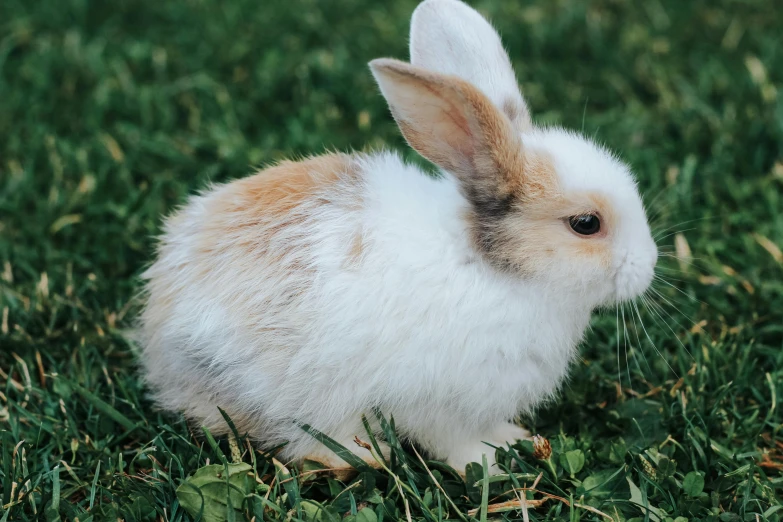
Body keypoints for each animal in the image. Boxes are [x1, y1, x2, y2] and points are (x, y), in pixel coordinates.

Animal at [138, 0, 660, 474]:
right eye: (586, 224)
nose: (649, 265)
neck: (493, 268)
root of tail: (157, 335)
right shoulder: (439, 403)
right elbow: (455, 442)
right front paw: (488, 466)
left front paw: (515, 439)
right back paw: (367, 457)